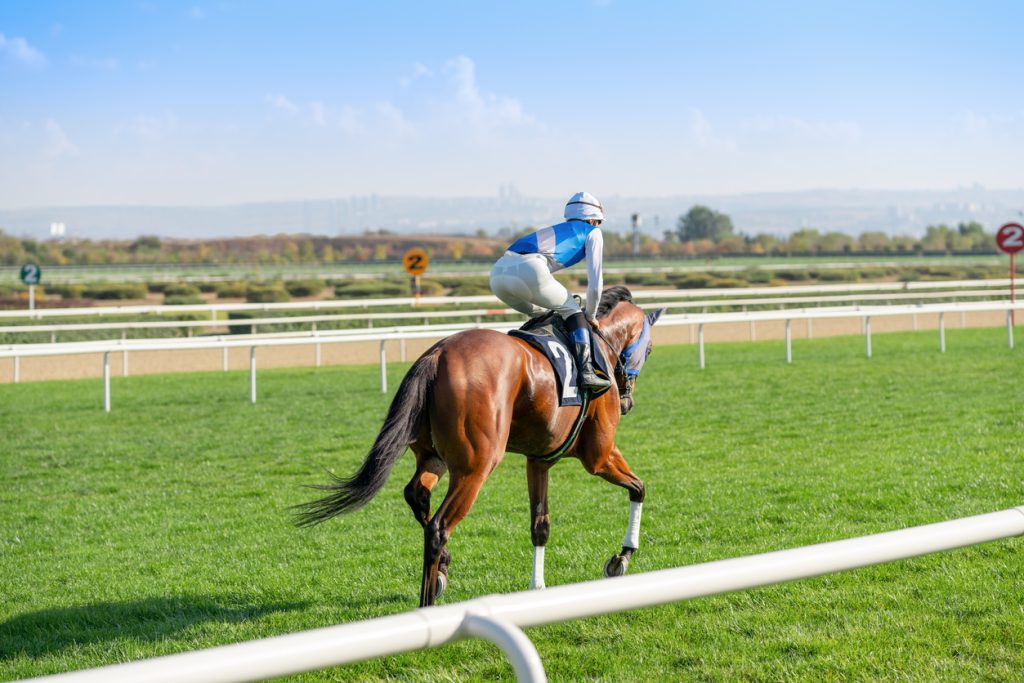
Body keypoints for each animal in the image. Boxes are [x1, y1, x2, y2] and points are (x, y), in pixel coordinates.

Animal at [296, 286, 663, 606]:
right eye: (649, 350)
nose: (627, 402)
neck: (598, 343)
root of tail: (437, 355)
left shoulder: (538, 460)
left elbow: (540, 526)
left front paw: (538, 586)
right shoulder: (598, 455)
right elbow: (639, 488)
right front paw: (622, 557)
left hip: (435, 456)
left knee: (417, 495)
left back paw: (441, 571)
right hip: (477, 466)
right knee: (438, 527)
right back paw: (428, 603)